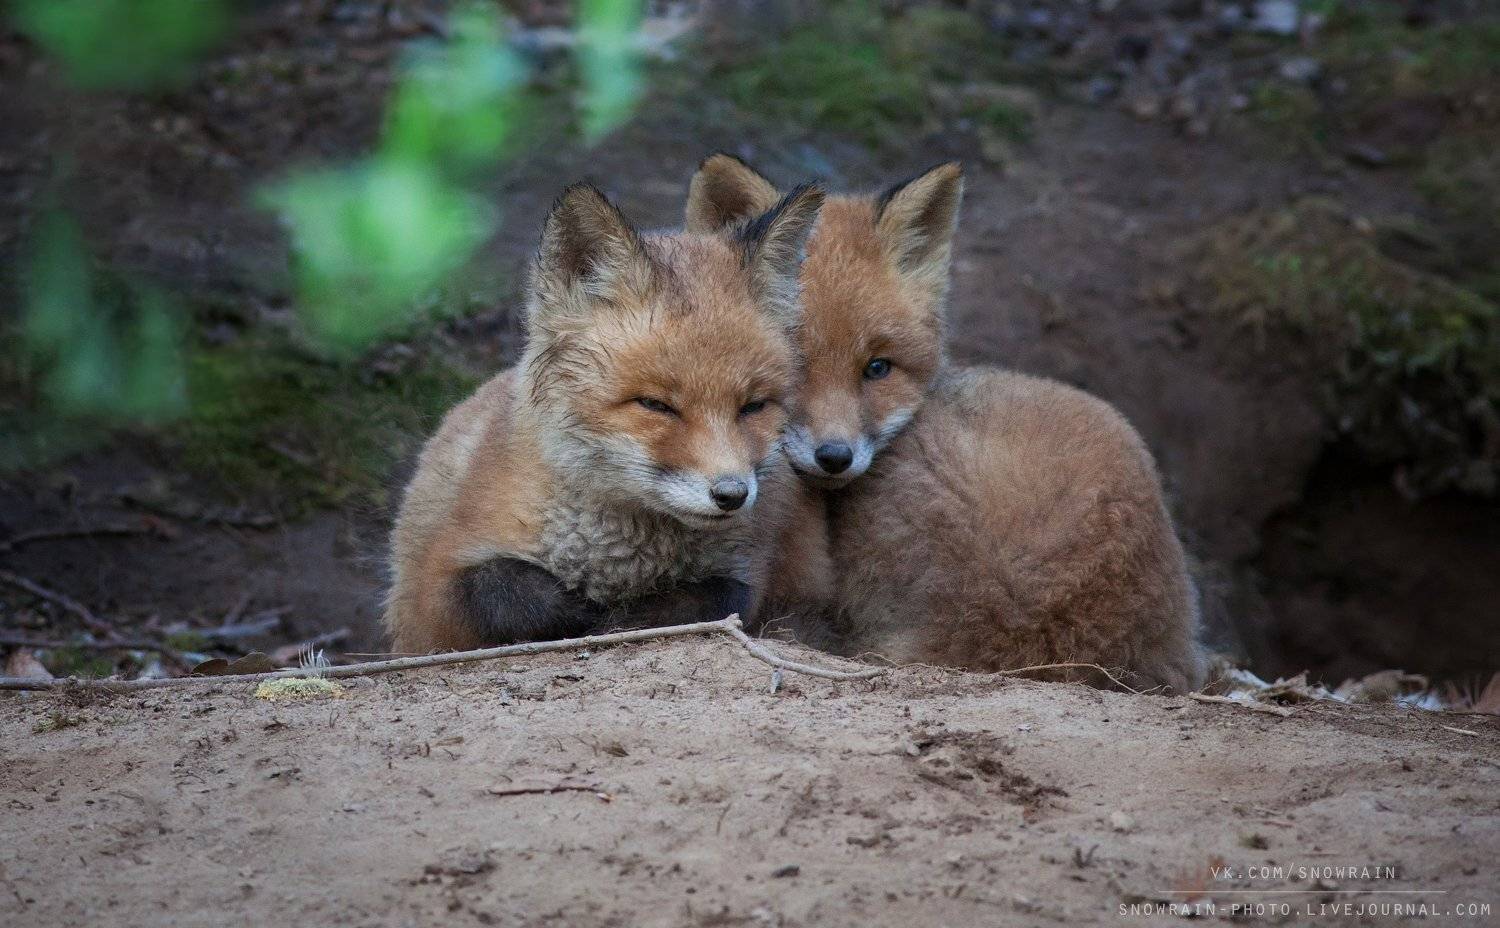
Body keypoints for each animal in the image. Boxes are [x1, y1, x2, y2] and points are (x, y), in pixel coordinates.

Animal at [385, 180, 829, 653]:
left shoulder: (747, 569)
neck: (618, 561)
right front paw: (585, 617)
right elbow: (504, 589)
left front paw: (622, 619)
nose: (731, 494)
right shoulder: (431, 592)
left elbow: (715, 598)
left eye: (753, 406)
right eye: (655, 405)